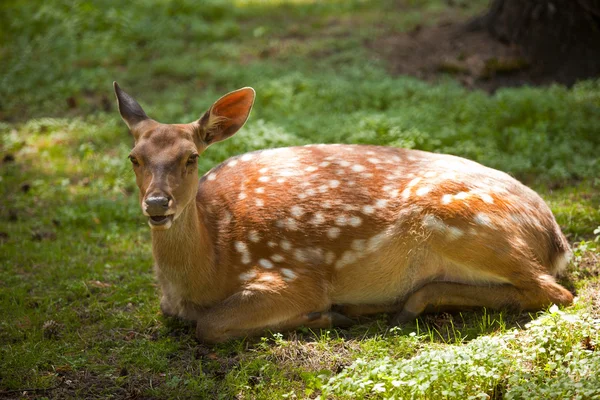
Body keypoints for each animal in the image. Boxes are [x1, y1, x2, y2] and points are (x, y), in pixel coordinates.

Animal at [113, 82, 576, 344]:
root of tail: (556, 239)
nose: (157, 204)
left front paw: (322, 316)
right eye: (134, 158)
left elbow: (209, 326)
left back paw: (383, 307)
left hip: (464, 222)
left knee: (554, 292)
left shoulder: (294, 275)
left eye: (191, 157)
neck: (212, 261)